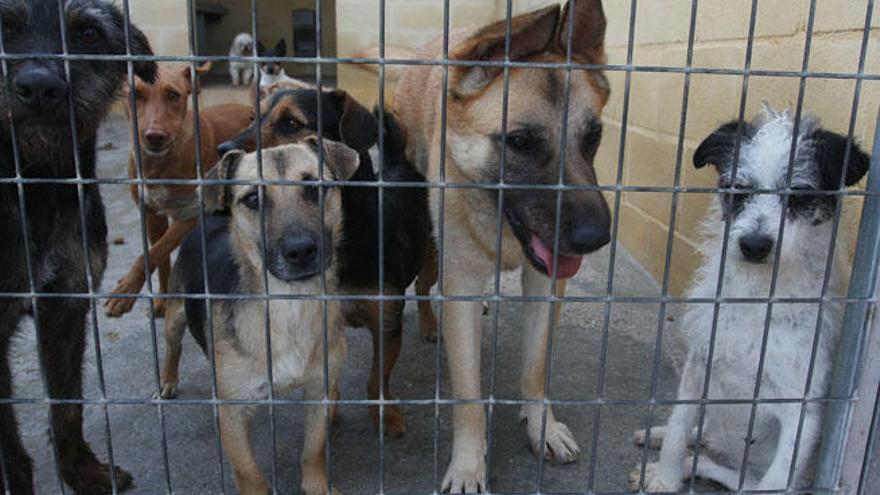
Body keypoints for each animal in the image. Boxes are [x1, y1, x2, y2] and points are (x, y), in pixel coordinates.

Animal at [0, 1, 156, 494]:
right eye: (3, 24)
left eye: (88, 33)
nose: (39, 88)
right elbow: (10, 445)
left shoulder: (66, 302)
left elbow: (67, 406)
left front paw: (83, 472)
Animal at [163, 140, 360, 495]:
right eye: (253, 199)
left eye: (314, 187)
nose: (300, 251)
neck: (289, 306)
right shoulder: (233, 413)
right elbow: (249, 472)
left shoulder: (319, 390)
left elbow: (313, 450)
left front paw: (317, 485)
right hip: (174, 314)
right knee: (173, 345)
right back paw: (168, 380)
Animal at [358, 0, 612, 492]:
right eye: (520, 142)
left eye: (593, 137)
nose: (597, 238)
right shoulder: (461, 283)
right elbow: (469, 399)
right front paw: (468, 466)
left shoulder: (545, 286)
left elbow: (535, 368)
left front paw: (542, 427)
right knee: (427, 287)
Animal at [628, 107, 868, 492]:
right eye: (740, 188)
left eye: (799, 194)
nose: (754, 245)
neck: (757, 296)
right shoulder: (699, 364)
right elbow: (680, 426)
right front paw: (664, 477)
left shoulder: (802, 412)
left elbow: (774, 478)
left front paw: (668, 476)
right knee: (701, 431)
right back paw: (660, 437)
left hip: (750, 471)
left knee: (727, 471)